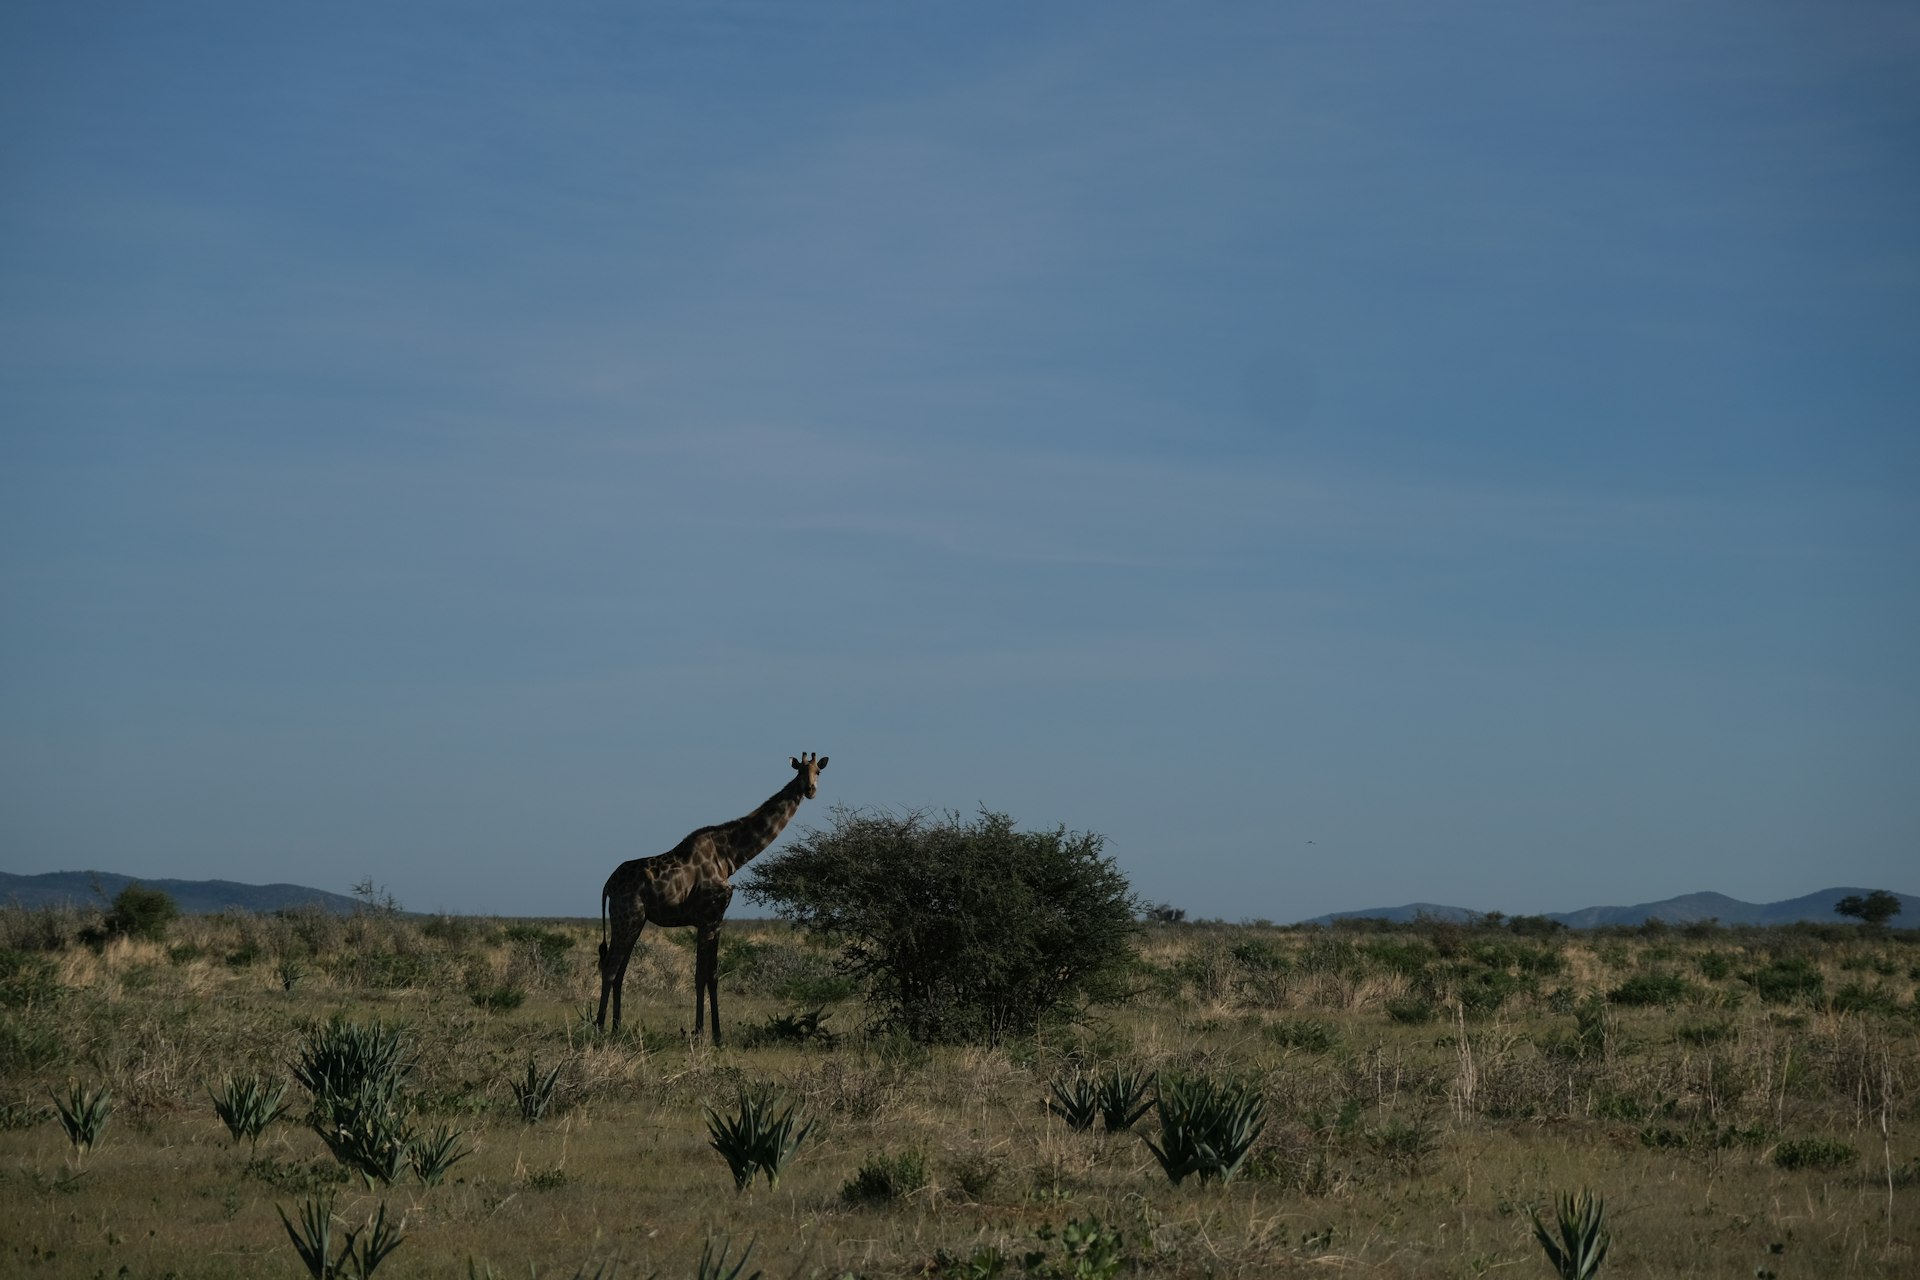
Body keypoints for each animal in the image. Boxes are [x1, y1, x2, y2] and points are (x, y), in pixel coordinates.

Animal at [596, 752, 828, 1042]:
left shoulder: (713, 921)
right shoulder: (710, 918)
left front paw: (706, 1032)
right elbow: (706, 975)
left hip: (634, 922)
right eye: (800, 772)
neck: (730, 856)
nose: (810, 790)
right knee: (610, 967)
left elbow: (707, 975)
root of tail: (608, 885)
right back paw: (600, 1027)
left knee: (619, 969)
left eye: (818, 771)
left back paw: (617, 1026)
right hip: (626, 917)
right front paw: (709, 1034)